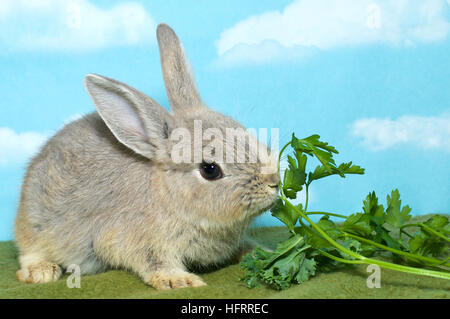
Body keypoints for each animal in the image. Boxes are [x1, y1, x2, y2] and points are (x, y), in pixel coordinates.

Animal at [14, 23, 280, 292]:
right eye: (210, 169)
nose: (274, 183)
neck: (169, 197)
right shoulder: (136, 242)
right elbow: (155, 263)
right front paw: (180, 280)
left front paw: (262, 253)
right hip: (36, 222)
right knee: (29, 251)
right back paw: (42, 271)